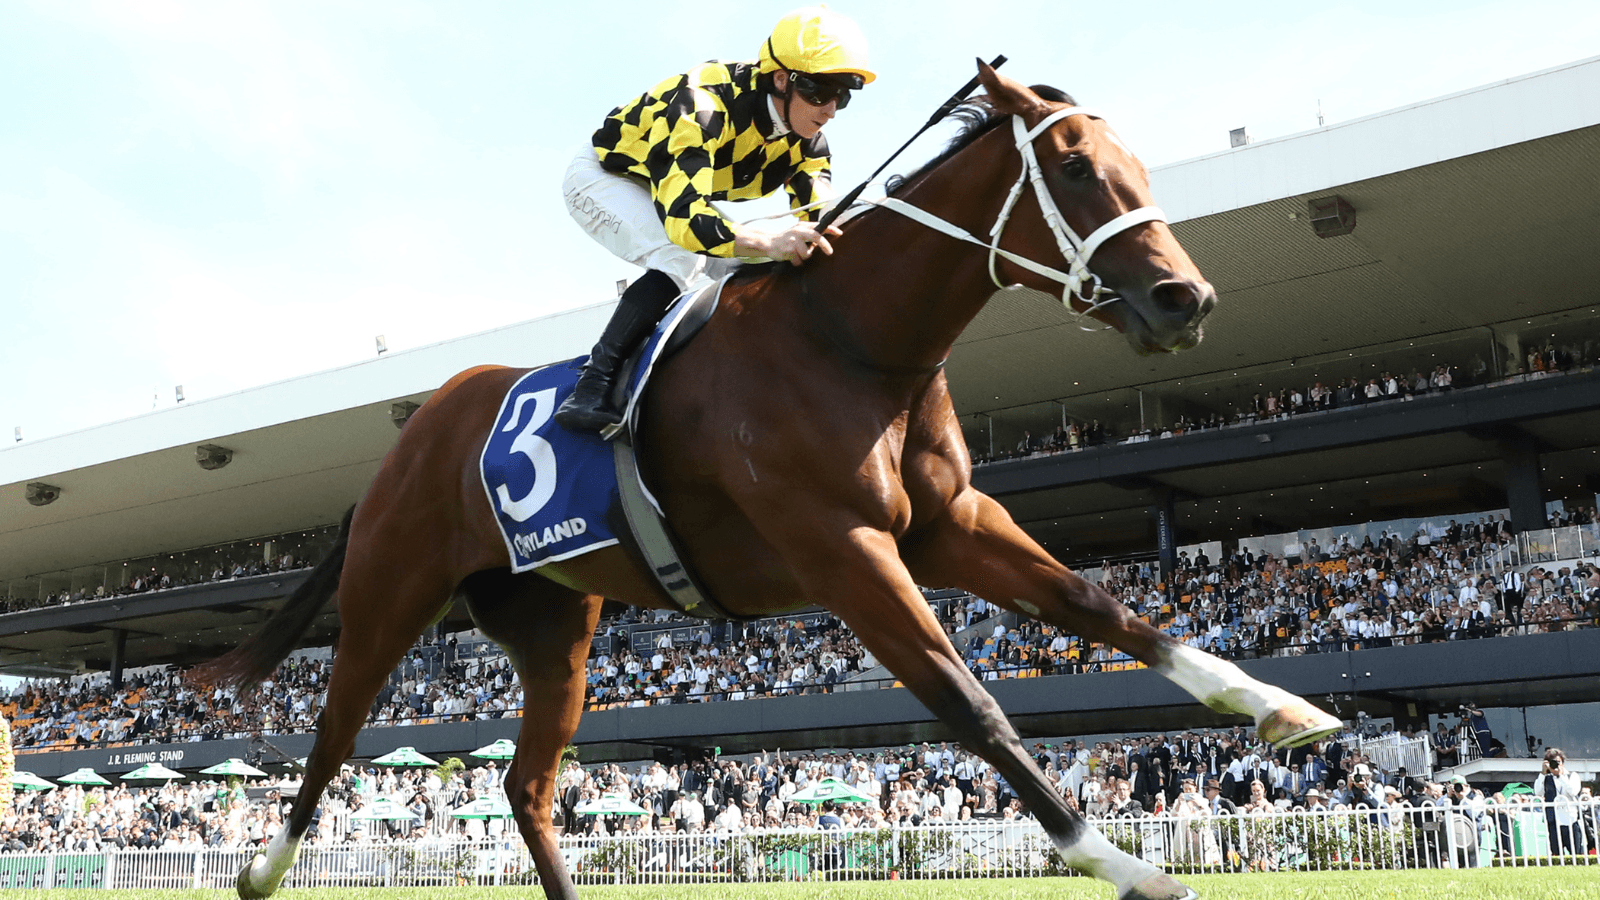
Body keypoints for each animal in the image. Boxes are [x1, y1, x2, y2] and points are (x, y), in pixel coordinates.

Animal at [199, 62, 1337, 900]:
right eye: (1073, 169)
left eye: (1132, 163)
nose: (1184, 299)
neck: (852, 344)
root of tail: (404, 443)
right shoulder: (841, 548)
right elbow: (969, 701)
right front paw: (1125, 864)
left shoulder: (947, 523)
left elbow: (1103, 605)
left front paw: (1277, 704)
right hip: (389, 597)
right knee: (332, 735)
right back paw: (260, 871)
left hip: (554, 632)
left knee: (525, 784)